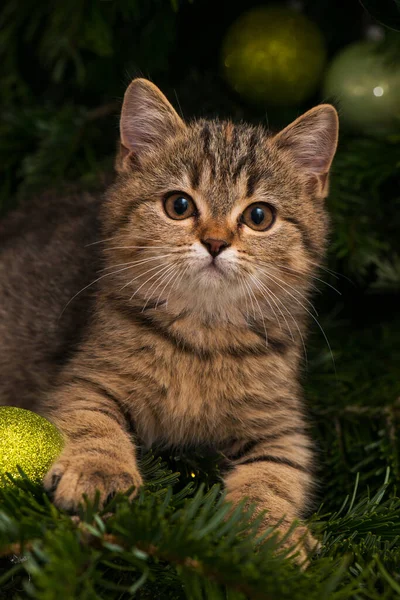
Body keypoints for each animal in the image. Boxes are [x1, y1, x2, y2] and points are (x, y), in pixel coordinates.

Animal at [0, 77, 338, 560]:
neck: (204, 335)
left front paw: (273, 529)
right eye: (179, 205)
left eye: (259, 216)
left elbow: (277, 472)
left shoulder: (281, 425)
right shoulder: (85, 378)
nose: (215, 242)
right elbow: (92, 420)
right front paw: (100, 470)